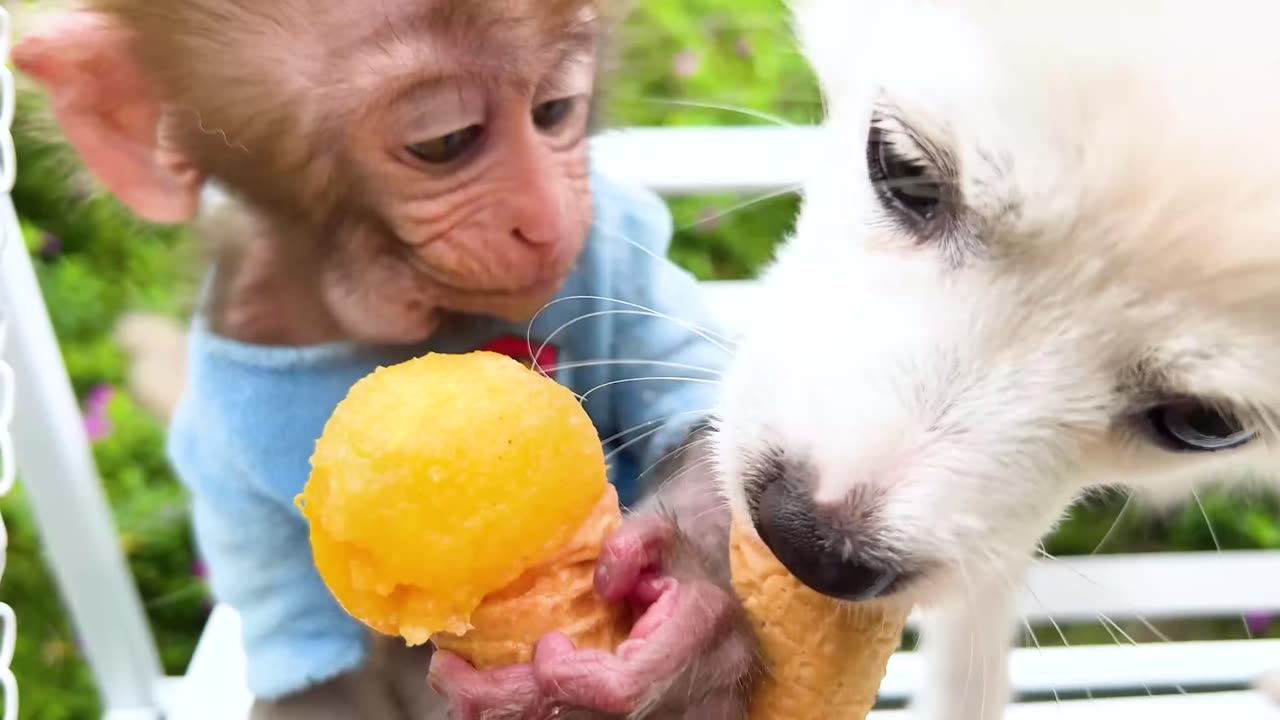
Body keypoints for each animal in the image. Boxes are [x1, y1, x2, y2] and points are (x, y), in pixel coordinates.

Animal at [14, 3, 762, 718]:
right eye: (443, 143)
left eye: (554, 111)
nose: (548, 219)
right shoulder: (226, 450)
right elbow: (320, 691)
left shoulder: (616, 243)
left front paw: (682, 632)